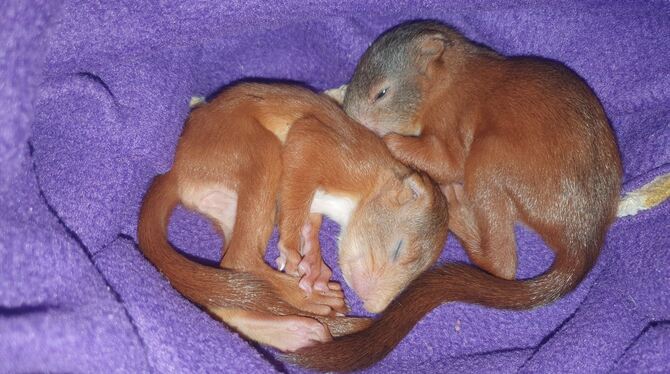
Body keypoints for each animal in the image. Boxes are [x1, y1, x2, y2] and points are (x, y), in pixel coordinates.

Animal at [136, 82, 448, 350]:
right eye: (398, 249)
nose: (373, 306)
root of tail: (175, 170)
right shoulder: (332, 151)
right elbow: (303, 156)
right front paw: (292, 252)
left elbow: (309, 220)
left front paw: (314, 262)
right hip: (256, 151)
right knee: (239, 259)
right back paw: (307, 298)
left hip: (227, 206)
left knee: (226, 295)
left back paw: (295, 330)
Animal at [288, 19, 624, 368]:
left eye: (381, 93)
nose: (347, 119)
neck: (451, 80)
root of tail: (582, 240)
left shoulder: (451, 123)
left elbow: (442, 161)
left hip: (487, 162)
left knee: (501, 264)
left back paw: (456, 206)